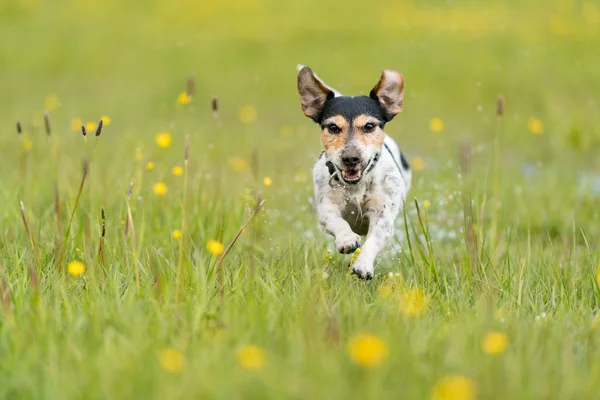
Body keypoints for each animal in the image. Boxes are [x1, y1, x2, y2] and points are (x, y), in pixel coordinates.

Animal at [296, 65, 412, 280]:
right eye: (333, 127)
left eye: (369, 126)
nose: (351, 158)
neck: (356, 186)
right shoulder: (326, 207)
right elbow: (336, 221)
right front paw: (347, 239)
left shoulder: (383, 214)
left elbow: (375, 238)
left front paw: (362, 265)